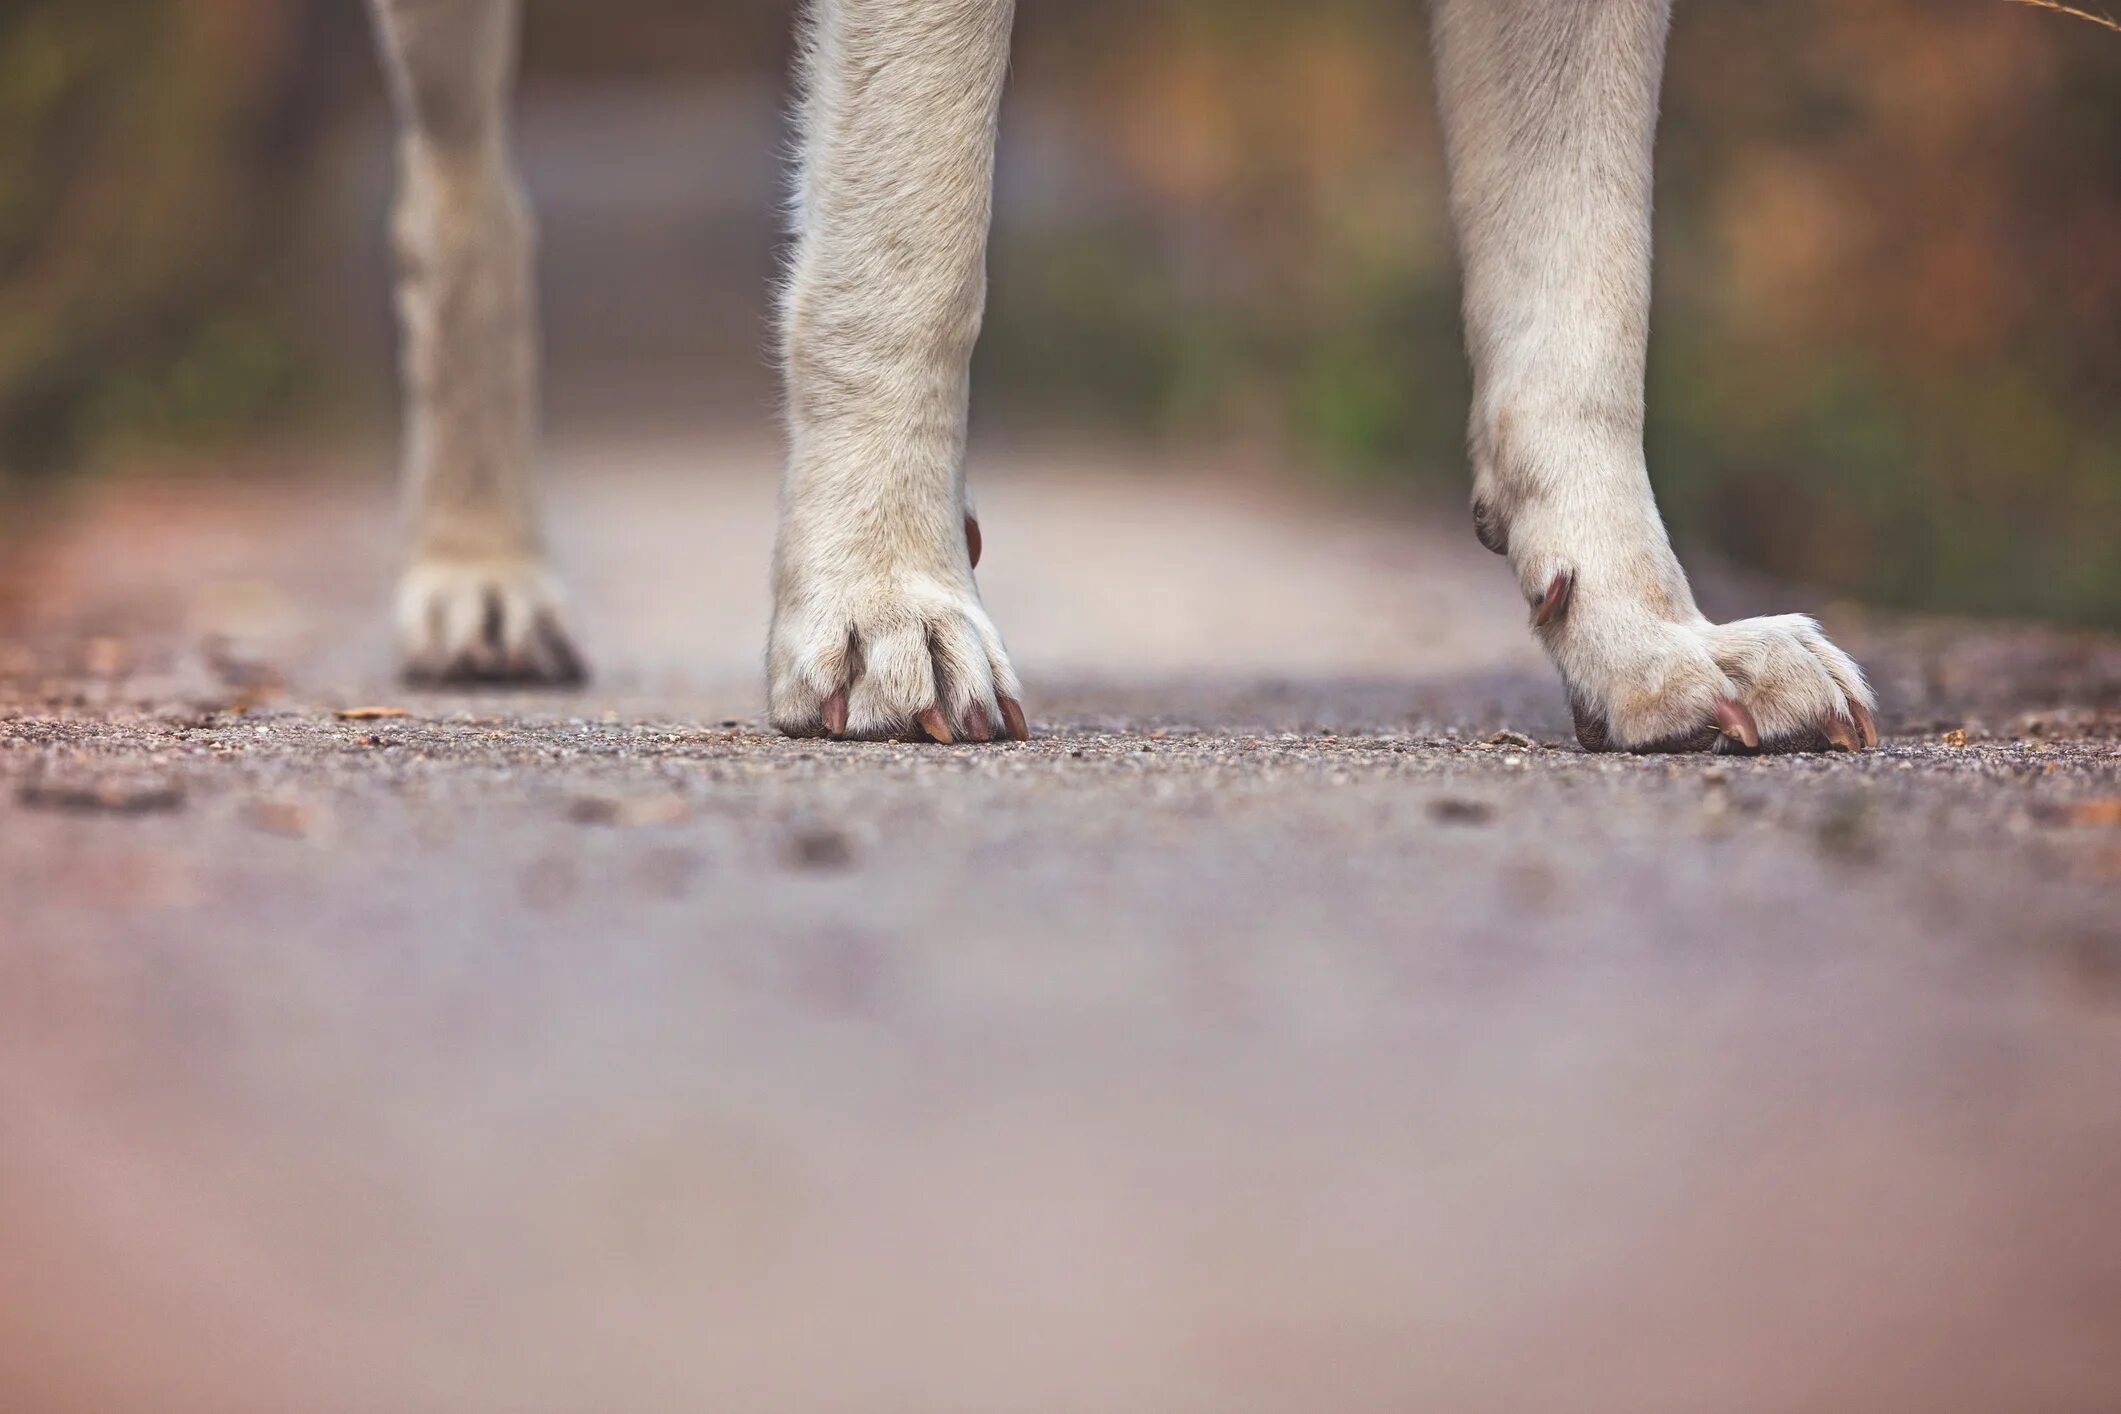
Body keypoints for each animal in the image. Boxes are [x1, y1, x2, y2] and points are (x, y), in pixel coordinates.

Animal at [364, 0, 1874, 750]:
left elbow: (1584, 294)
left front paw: (1649, 640)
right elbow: (907, 234)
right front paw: (884, 600)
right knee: (463, 199)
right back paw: (481, 579)